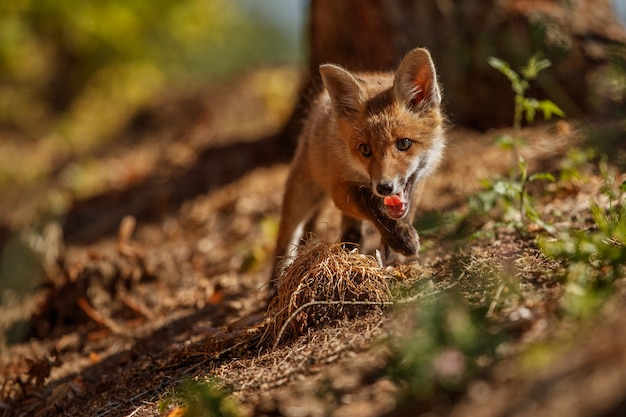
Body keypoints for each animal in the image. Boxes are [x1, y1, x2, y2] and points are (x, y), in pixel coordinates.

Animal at [270, 47, 444, 286]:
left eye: (404, 144)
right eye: (365, 149)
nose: (384, 188)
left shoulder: (419, 180)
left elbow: (402, 213)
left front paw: (393, 247)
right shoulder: (340, 189)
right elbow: (371, 203)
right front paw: (401, 239)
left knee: (350, 232)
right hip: (302, 193)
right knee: (285, 239)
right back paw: (275, 285)